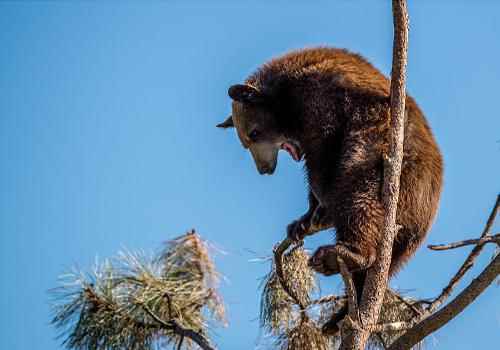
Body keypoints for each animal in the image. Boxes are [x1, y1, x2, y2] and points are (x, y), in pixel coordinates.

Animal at [217, 46, 444, 334]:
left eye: (254, 133)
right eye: (245, 142)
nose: (264, 169)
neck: (285, 98)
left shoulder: (322, 100)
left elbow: (323, 151)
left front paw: (320, 206)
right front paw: (301, 222)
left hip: (386, 158)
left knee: (358, 193)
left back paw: (343, 254)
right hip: (405, 230)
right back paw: (339, 315)